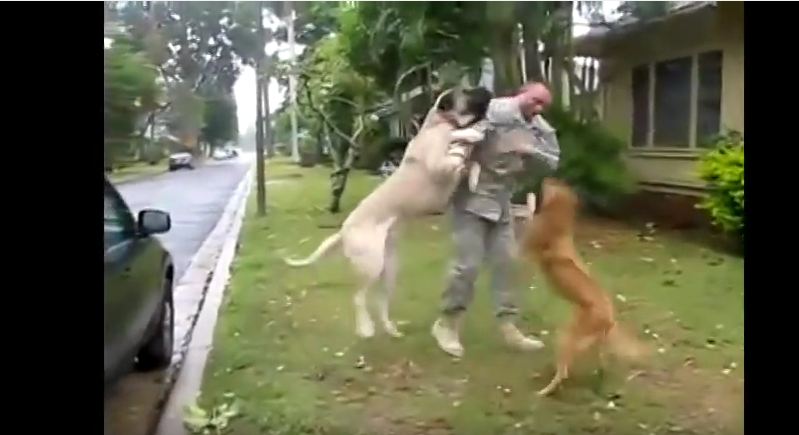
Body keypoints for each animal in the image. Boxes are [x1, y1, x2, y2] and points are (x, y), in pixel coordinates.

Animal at [284, 88, 496, 338]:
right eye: (466, 93)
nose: (487, 90)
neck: (438, 124)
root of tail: (344, 230)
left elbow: (470, 163)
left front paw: (473, 176)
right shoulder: (440, 162)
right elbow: (457, 143)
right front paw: (471, 133)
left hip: (390, 268)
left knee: (380, 300)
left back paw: (390, 329)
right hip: (371, 264)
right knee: (358, 297)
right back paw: (366, 328)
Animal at [520, 179, 648, 396]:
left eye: (556, 184)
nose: (546, 178)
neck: (560, 224)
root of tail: (610, 318)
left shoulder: (526, 250)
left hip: (566, 335)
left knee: (563, 372)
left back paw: (545, 390)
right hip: (588, 340)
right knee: (596, 364)